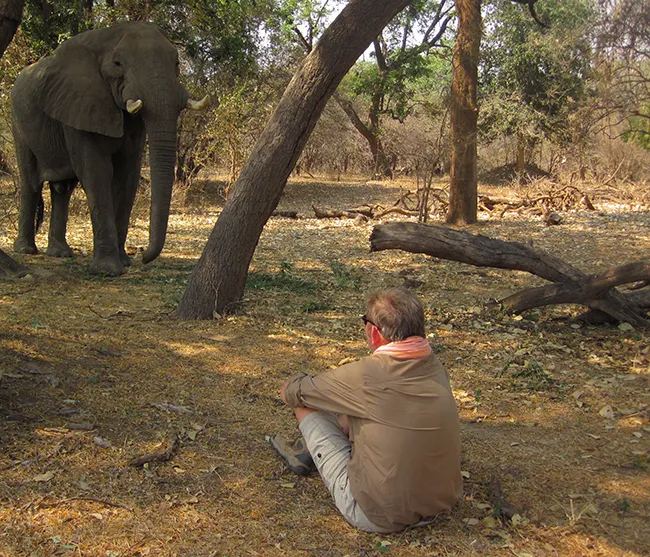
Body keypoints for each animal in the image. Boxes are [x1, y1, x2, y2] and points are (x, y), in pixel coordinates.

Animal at [11, 21, 209, 276]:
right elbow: (97, 172)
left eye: (176, 64)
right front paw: (108, 270)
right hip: (18, 121)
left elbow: (128, 174)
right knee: (30, 182)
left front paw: (123, 262)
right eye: (117, 64)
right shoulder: (79, 101)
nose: (142, 255)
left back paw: (61, 253)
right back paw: (26, 250)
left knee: (62, 189)